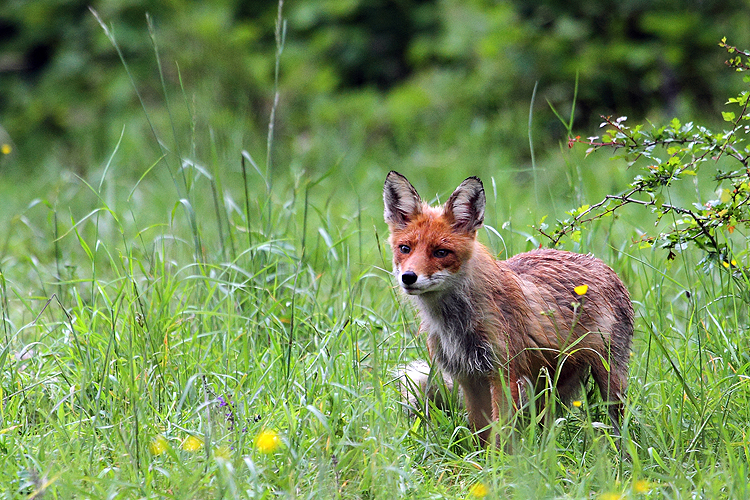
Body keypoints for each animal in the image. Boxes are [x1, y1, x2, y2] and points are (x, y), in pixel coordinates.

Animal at [384, 171, 636, 446]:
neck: (457, 324)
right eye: (405, 249)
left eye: (441, 252)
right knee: (546, 426)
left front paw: (499, 459)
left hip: (609, 378)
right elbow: (480, 434)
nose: (408, 277)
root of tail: (601, 262)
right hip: (547, 386)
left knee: (619, 423)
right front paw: (479, 458)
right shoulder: (468, 377)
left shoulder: (503, 374)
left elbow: (499, 437)